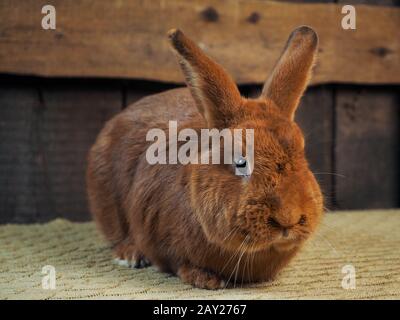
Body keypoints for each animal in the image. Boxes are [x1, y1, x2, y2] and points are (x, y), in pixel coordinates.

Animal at [86, 26, 324, 288]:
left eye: (302, 152)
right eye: (241, 162)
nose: (288, 218)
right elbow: (178, 263)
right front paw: (206, 280)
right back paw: (130, 255)